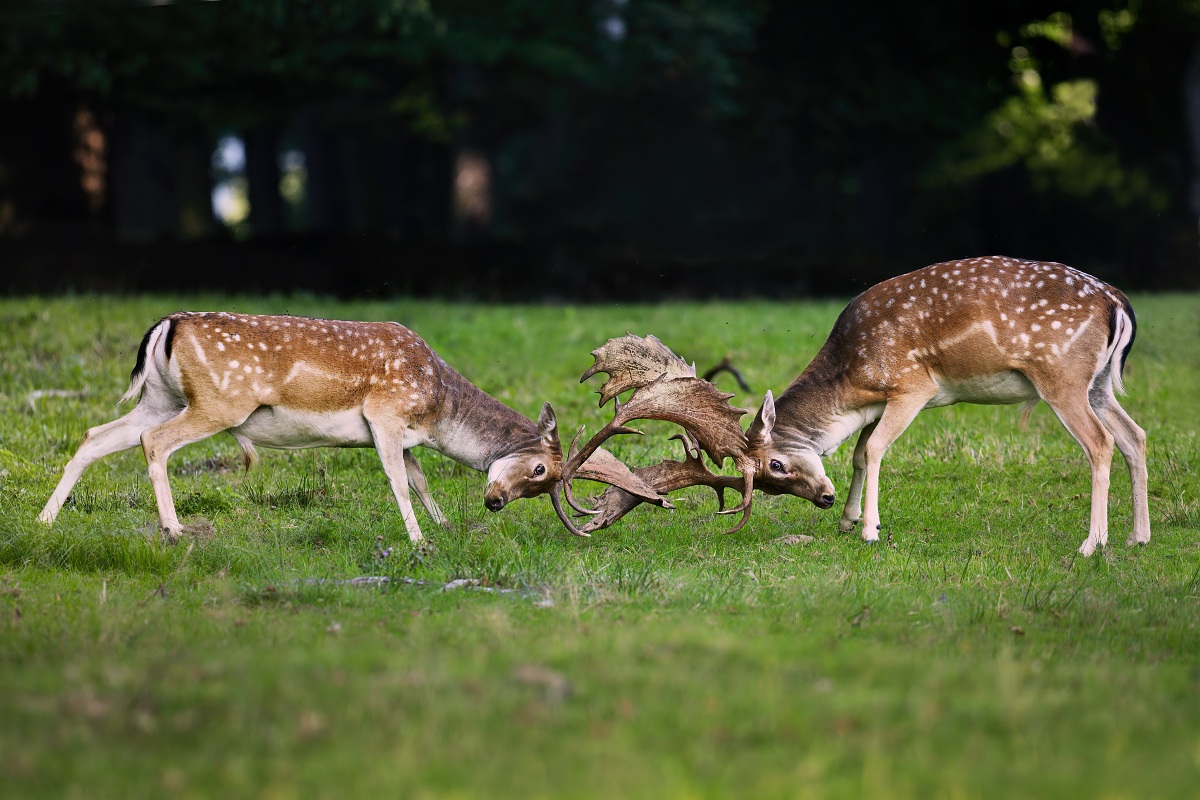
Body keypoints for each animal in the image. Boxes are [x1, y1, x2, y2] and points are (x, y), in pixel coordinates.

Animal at [39, 311, 657, 544]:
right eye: (540, 468)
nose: (495, 502)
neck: (435, 403)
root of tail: (165, 326)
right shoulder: (384, 413)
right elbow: (400, 481)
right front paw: (418, 540)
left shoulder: (401, 432)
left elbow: (420, 478)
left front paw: (442, 527)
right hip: (219, 402)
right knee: (154, 443)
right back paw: (173, 530)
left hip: (161, 396)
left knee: (95, 435)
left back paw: (45, 520)